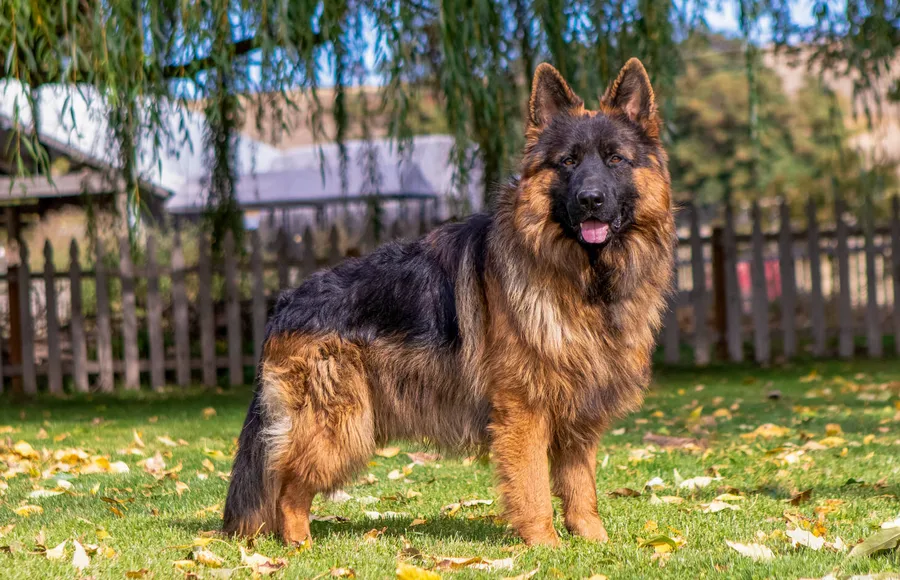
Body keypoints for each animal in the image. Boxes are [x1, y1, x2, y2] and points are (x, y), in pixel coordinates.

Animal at [223, 60, 676, 548]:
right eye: (568, 162)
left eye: (615, 159)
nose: (590, 200)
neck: (583, 277)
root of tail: (286, 301)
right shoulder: (524, 410)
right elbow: (533, 486)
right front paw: (545, 546)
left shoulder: (578, 409)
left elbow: (580, 486)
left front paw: (592, 541)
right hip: (340, 426)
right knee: (286, 487)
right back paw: (299, 546)